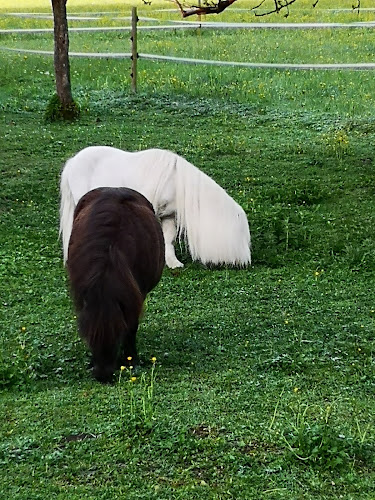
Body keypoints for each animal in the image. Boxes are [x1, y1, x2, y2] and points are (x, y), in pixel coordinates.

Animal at [59, 146, 253, 270]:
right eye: (241, 237)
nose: (247, 262)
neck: (176, 182)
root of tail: (72, 161)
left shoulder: (169, 215)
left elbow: (168, 238)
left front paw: (172, 262)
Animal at [67, 186, 164, 380]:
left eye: (117, 331)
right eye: (88, 334)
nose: (102, 375)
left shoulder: (136, 296)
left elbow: (132, 327)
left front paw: (132, 359)